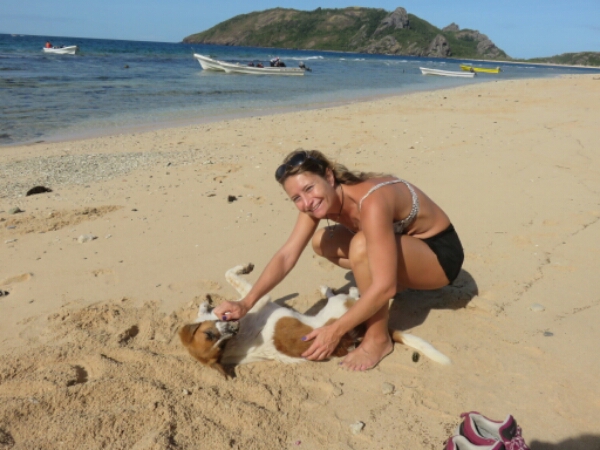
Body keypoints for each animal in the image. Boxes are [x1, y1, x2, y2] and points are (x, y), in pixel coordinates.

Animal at [179, 264, 451, 377]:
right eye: (212, 338)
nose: (234, 326)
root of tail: (359, 332)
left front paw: (206, 304)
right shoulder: (258, 297)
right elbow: (230, 275)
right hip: (340, 305)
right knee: (349, 296)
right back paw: (336, 290)